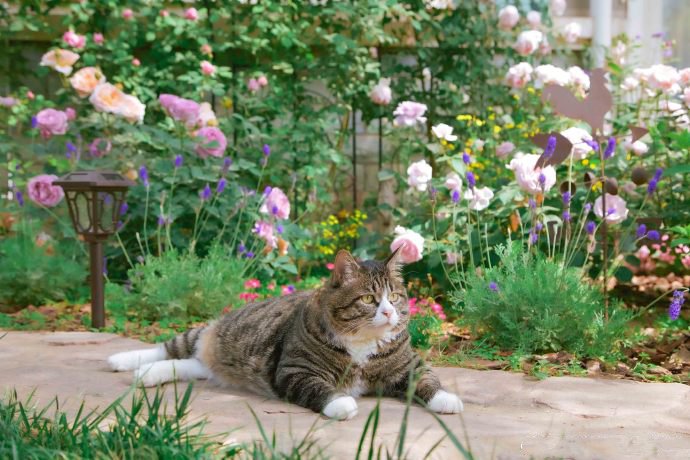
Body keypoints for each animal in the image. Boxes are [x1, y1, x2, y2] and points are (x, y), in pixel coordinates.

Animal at [107, 250, 462, 418]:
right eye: (368, 300)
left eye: (396, 297)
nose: (389, 312)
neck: (362, 344)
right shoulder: (295, 370)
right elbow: (319, 389)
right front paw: (341, 404)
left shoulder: (408, 366)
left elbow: (427, 379)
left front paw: (445, 399)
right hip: (208, 334)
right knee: (169, 347)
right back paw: (123, 361)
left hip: (206, 361)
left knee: (184, 364)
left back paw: (146, 375)